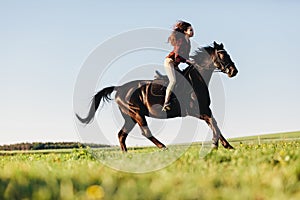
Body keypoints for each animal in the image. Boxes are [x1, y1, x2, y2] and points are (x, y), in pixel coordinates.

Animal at [76, 41, 238, 152]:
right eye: (222, 55)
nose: (233, 71)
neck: (196, 81)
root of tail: (119, 88)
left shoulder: (206, 109)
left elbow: (214, 123)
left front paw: (227, 146)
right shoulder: (197, 111)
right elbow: (213, 123)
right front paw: (216, 145)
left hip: (129, 117)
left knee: (122, 134)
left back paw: (125, 154)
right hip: (136, 114)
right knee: (145, 132)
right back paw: (163, 147)